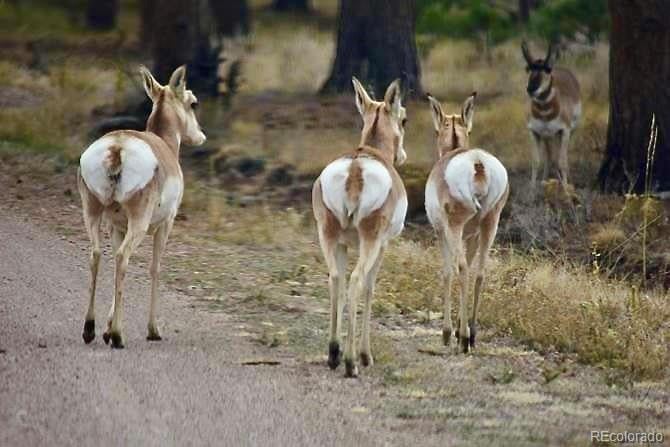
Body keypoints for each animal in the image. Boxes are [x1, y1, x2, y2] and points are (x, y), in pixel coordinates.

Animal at [78, 65, 206, 349]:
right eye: (193, 102)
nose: (201, 137)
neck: (163, 142)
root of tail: (117, 147)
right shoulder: (166, 224)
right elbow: (155, 269)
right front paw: (153, 330)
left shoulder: (116, 227)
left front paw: (106, 328)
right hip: (140, 223)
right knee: (123, 257)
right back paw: (118, 336)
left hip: (92, 213)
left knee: (98, 255)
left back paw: (90, 329)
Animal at [312, 78, 408, 378]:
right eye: (404, 118)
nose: (402, 156)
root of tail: (356, 169)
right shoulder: (384, 245)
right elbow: (370, 288)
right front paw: (366, 356)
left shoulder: (343, 244)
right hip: (370, 242)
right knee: (356, 281)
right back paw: (352, 362)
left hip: (328, 236)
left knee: (336, 280)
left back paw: (334, 353)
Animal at [424, 93, 509, 353]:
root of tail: (477, 162)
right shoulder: (471, 236)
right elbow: (471, 268)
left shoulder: (441, 232)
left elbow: (447, 271)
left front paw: (446, 332)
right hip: (490, 225)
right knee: (479, 273)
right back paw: (472, 334)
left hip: (454, 227)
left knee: (460, 270)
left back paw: (461, 338)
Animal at [521, 41, 581, 191]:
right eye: (528, 69)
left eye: (547, 69)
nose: (531, 89)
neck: (545, 112)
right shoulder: (534, 132)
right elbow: (536, 161)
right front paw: (532, 190)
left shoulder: (564, 131)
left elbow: (562, 161)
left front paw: (566, 190)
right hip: (547, 136)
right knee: (549, 157)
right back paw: (545, 180)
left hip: (565, 133)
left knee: (561, 156)